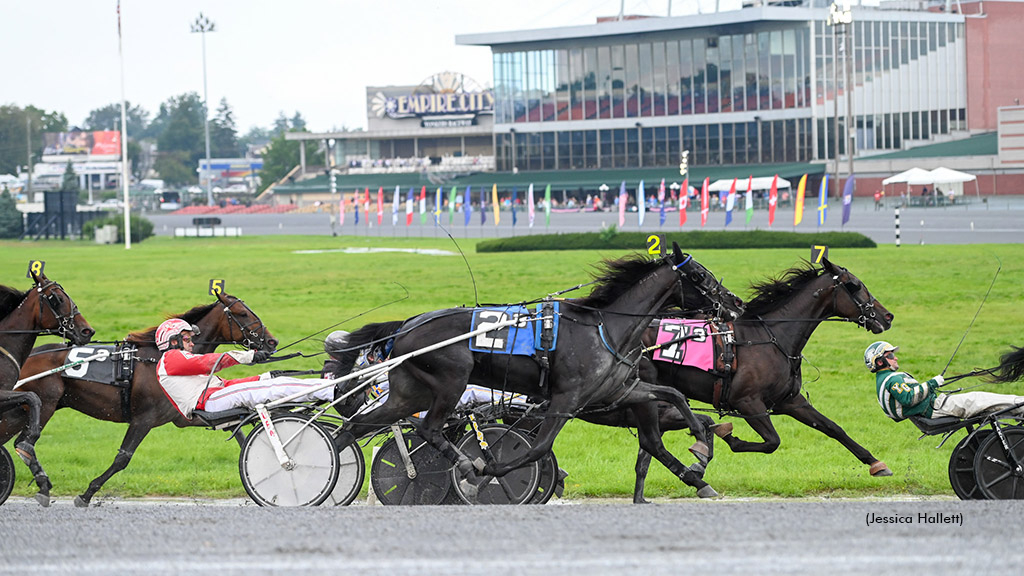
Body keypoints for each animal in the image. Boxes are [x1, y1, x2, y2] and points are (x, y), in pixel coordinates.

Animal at [335, 243, 745, 500]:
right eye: (701, 276)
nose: (736, 303)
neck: (605, 327)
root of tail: (407, 324)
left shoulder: (618, 392)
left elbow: (674, 401)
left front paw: (699, 449)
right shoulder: (566, 399)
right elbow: (538, 448)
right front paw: (489, 473)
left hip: (410, 391)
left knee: (353, 428)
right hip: (450, 380)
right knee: (427, 429)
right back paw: (466, 463)